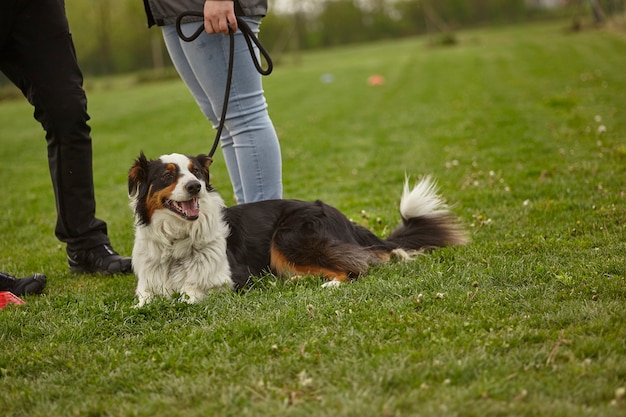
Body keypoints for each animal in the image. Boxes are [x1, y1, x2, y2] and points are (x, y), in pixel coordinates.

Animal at [127, 153, 466, 306]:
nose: (195, 187)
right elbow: (144, 299)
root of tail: (343, 218)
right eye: (167, 175)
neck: (177, 241)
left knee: (355, 268)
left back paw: (329, 284)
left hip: (289, 236)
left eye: (196, 172)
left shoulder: (232, 278)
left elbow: (188, 292)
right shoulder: (148, 283)